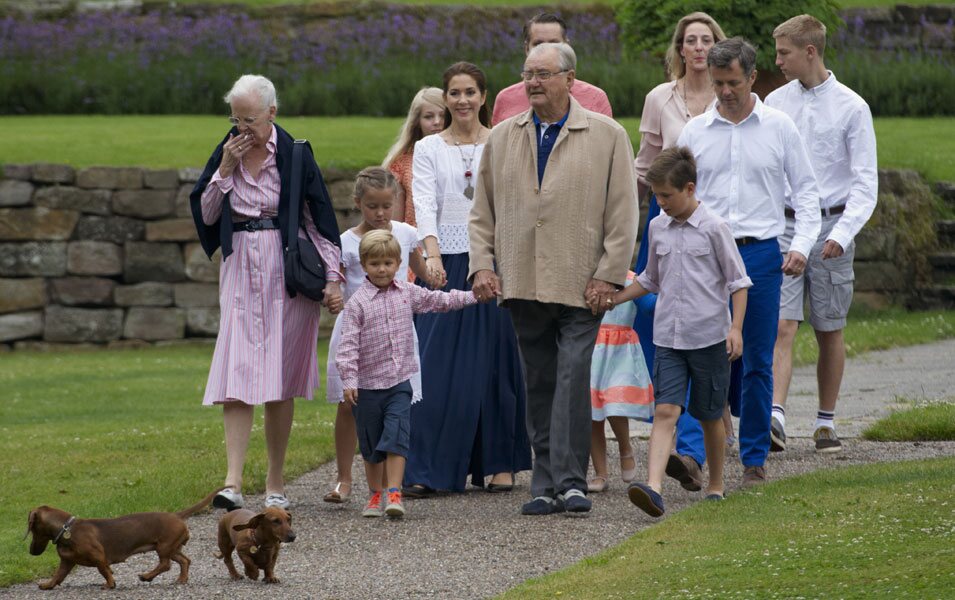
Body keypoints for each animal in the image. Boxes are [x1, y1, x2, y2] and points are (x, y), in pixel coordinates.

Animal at [25, 488, 222, 592]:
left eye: (32, 529)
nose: (31, 552)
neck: (68, 529)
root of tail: (177, 515)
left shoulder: (99, 557)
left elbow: (104, 570)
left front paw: (110, 584)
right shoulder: (66, 562)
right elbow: (58, 575)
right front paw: (48, 585)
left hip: (164, 548)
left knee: (165, 565)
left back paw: (147, 576)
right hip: (171, 548)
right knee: (184, 560)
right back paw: (181, 579)